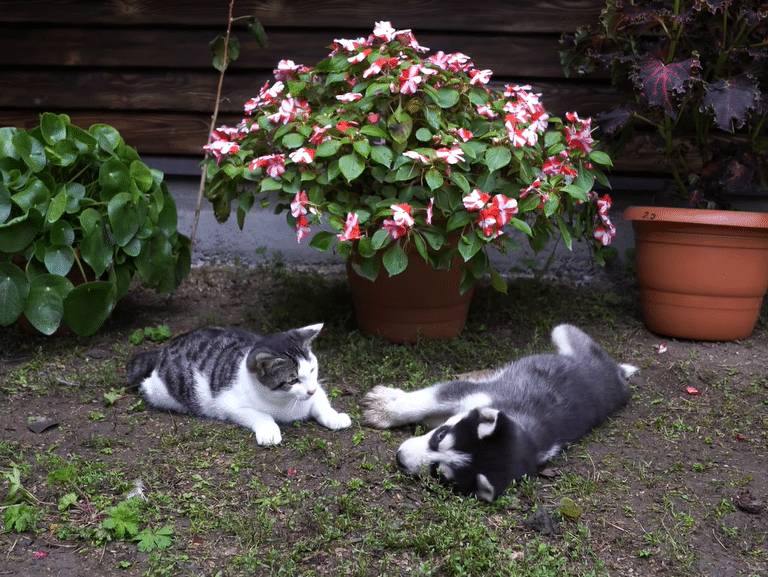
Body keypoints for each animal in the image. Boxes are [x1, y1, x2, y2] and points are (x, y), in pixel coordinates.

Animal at [364, 324, 640, 500]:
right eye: (440, 436)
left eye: (438, 474)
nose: (399, 457)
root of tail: (614, 372)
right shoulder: (472, 394)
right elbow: (419, 401)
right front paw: (385, 408)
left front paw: (385, 407)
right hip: (561, 333)